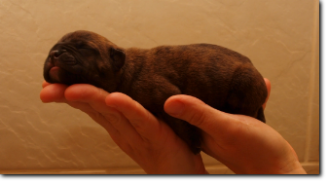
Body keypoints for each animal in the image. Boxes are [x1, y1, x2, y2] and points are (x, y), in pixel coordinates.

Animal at [43, 29, 268, 153]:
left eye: (83, 48)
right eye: (53, 47)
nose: (54, 53)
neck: (125, 70)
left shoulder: (167, 96)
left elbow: (181, 123)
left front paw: (194, 144)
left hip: (244, 85)